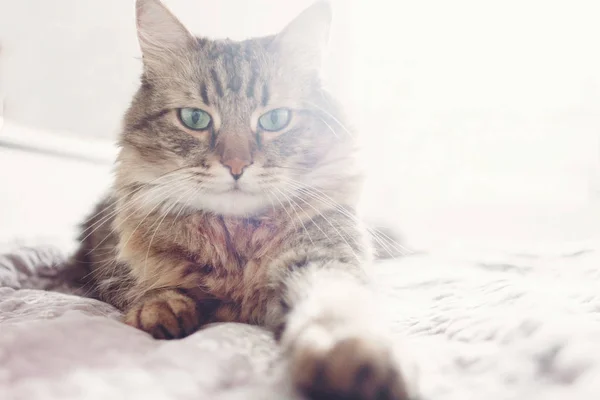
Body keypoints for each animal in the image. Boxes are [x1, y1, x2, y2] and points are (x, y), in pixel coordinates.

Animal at [70, 0, 414, 400]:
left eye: (275, 120)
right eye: (195, 118)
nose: (236, 165)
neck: (236, 241)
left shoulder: (323, 254)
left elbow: (334, 306)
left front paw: (351, 357)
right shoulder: (110, 255)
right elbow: (146, 286)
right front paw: (161, 310)